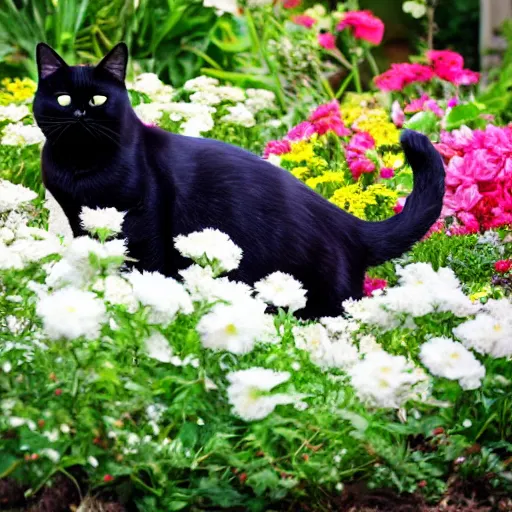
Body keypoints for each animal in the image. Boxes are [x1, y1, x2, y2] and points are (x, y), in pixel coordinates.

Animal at [33, 44, 444, 318]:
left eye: (99, 99)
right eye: (64, 99)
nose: (81, 114)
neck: (84, 169)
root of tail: (349, 224)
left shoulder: (144, 218)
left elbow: (143, 262)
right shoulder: (81, 218)